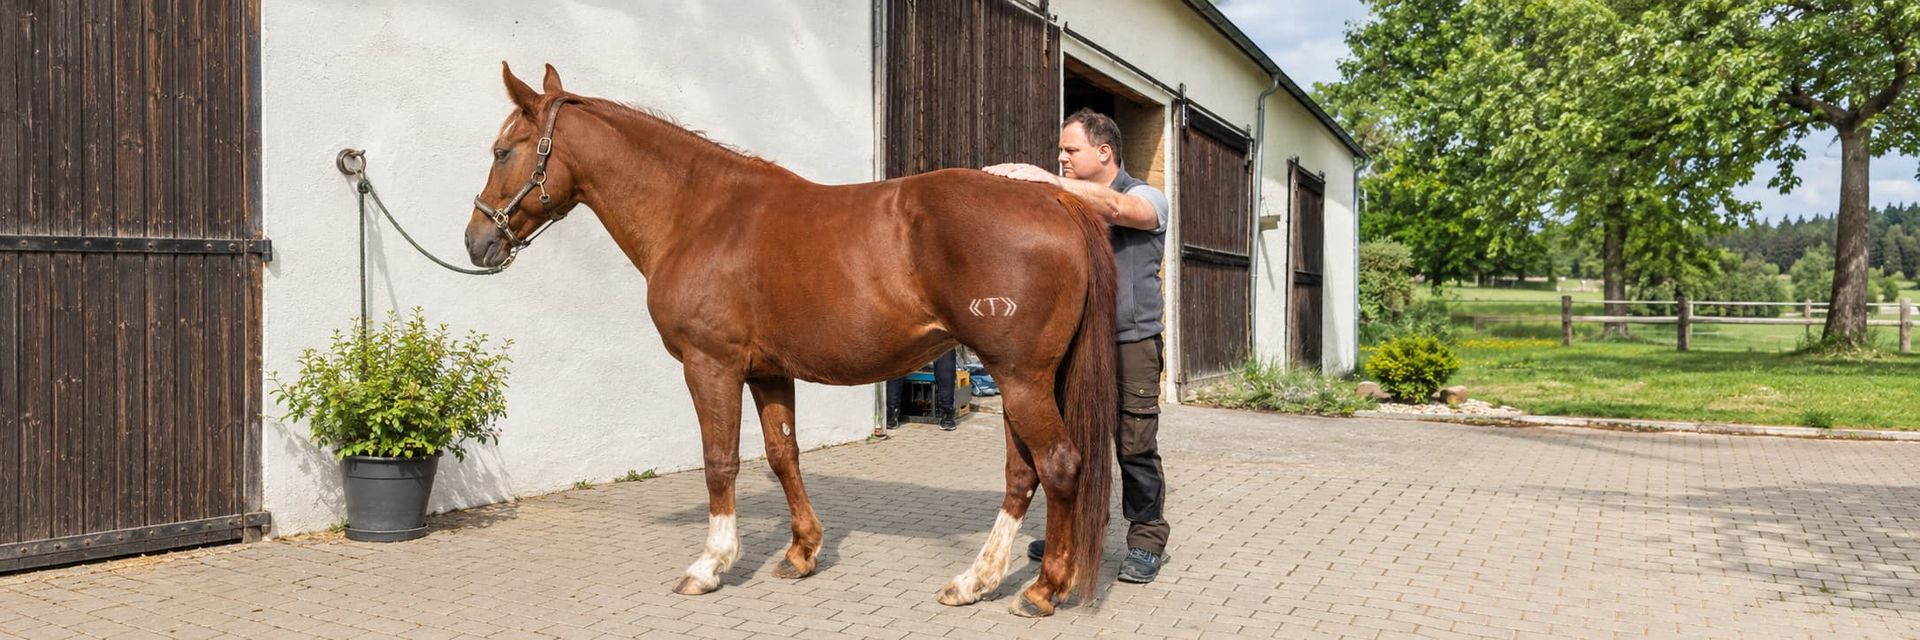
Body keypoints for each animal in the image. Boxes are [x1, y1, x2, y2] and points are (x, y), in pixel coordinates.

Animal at [464, 63, 1115, 617]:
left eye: (502, 151)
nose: (476, 241)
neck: (699, 213)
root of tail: (1054, 197)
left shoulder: (710, 364)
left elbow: (720, 461)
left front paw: (710, 565)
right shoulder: (768, 371)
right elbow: (783, 456)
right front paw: (801, 553)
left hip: (1020, 376)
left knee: (1058, 465)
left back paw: (1041, 590)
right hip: (1024, 377)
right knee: (1023, 474)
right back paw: (975, 580)